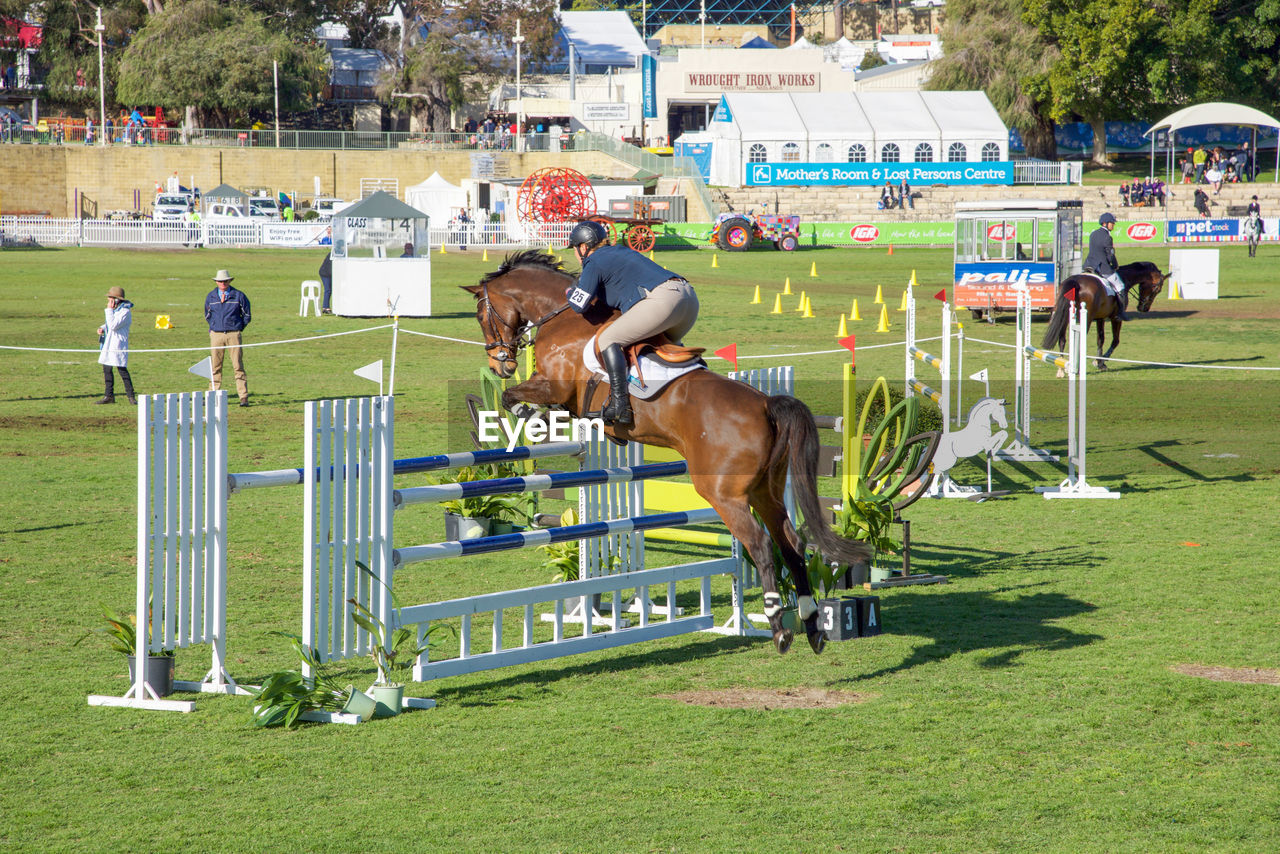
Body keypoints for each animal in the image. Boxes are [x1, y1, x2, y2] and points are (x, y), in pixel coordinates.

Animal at [465, 250, 875, 660]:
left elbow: (513, 398)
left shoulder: (555, 385)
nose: (501, 364)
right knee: (790, 542)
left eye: (482, 314)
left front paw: (528, 413)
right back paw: (811, 624)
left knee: (759, 543)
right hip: (765, 490)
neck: (564, 316)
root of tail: (765, 404)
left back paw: (779, 627)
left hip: (723, 493)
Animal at [1039, 258, 1172, 368]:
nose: (1143, 308)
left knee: (1062, 339)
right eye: (1158, 289)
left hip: (1063, 316)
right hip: (1085, 319)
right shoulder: (1115, 318)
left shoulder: (1100, 318)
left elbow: (1100, 339)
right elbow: (1115, 340)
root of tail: (1074, 282)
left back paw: (1061, 364)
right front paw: (1102, 361)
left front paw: (1099, 362)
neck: (1124, 278)